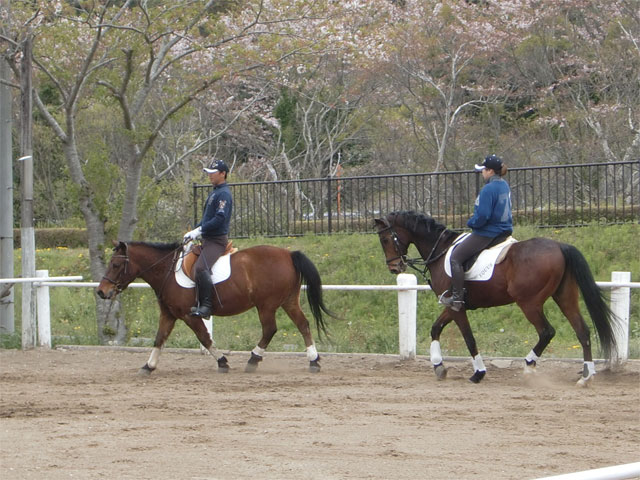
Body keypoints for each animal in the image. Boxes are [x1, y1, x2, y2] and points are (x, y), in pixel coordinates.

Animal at [97, 242, 336, 374]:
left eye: (115, 265)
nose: (101, 291)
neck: (166, 271)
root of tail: (288, 254)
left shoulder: (189, 315)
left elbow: (204, 337)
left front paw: (222, 362)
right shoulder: (169, 314)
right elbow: (159, 339)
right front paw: (148, 366)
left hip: (266, 305)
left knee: (270, 329)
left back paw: (253, 360)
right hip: (288, 301)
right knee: (303, 324)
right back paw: (313, 361)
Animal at [372, 210, 616, 386]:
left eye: (385, 239)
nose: (394, 268)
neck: (440, 251)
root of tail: (559, 245)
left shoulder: (457, 307)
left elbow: (469, 339)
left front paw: (478, 373)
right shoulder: (451, 306)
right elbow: (435, 328)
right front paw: (438, 366)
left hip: (529, 303)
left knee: (547, 332)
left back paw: (529, 366)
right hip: (565, 297)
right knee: (582, 331)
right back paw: (586, 376)